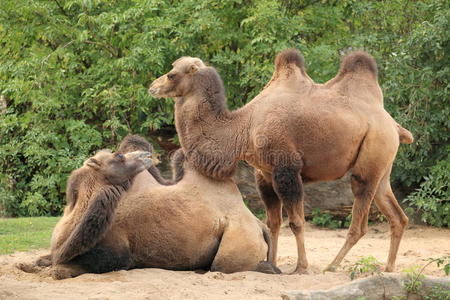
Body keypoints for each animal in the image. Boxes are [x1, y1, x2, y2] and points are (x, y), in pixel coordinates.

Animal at [20, 136, 278, 278]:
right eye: (119, 156)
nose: (145, 155)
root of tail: (257, 224)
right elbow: (43, 259)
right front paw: (29, 264)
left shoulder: (119, 254)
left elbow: (61, 269)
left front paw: (56, 269)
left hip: (236, 240)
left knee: (226, 266)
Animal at [149, 49, 414, 274]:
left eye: (172, 73)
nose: (153, 86)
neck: (244, 127)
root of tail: (394, 125)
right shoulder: (264, 174)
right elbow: (273, 223)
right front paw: (271, 264)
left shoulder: (286, 168)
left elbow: (296, 222)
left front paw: (301, 267)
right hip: (382, 164)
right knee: (397, 215)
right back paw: (389, 268)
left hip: (372, 153)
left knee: (360, 219)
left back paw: (332, 266)